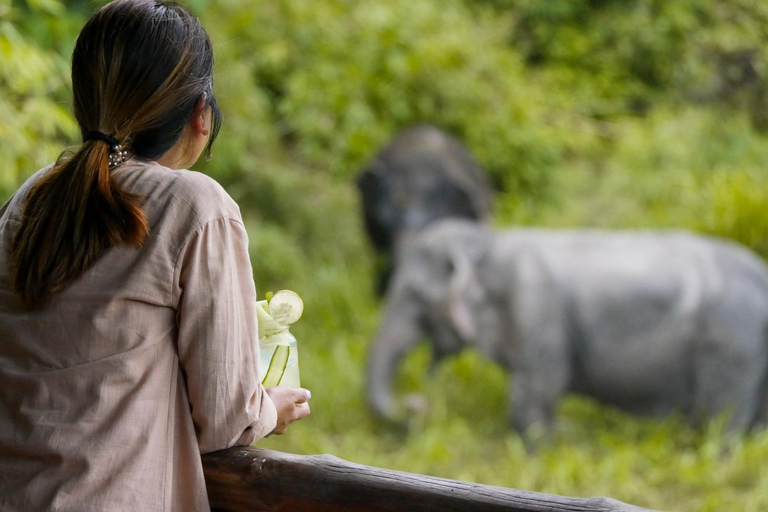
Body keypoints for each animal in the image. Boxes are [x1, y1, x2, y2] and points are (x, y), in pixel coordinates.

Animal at [366, 220, 768, 436]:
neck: (489, 243)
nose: (416, 404)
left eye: (414, 295)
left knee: (720, 423)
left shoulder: (537, 312)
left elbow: (537, 392)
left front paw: (545, 442)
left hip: (731, 345)